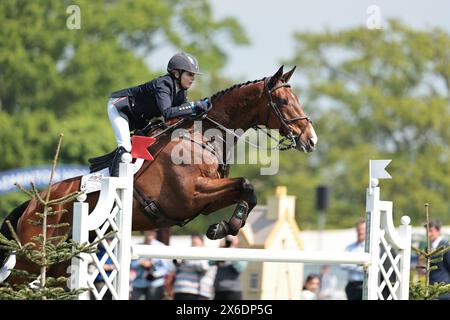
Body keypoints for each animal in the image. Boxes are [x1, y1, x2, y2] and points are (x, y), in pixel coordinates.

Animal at [0, 64, 316, 282]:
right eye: (284, 102)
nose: (311, 140)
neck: (201, 138)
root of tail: (33, 203)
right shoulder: (190, 196)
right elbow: (246, 184)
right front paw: (227, 227)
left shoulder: (206, 200)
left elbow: (246, 190)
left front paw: (224, 228)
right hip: (34, 256)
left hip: (60, 262)